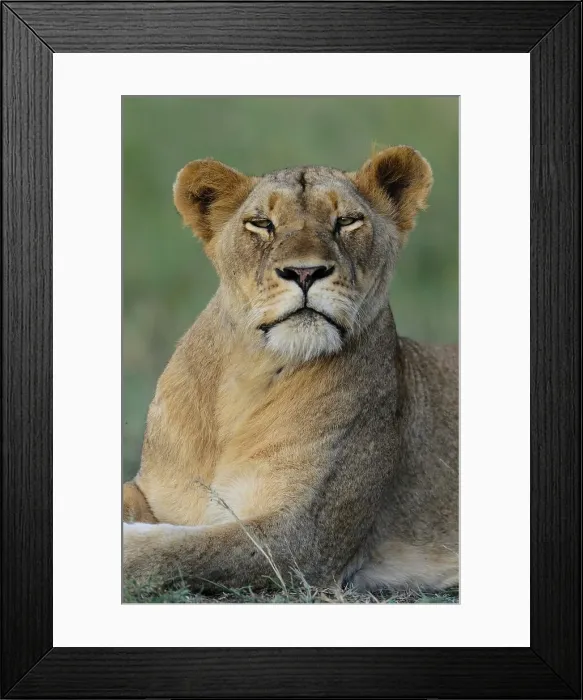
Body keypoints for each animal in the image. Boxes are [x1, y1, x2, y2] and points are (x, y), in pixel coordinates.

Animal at [123, 146, 459, 595]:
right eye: (262, 224)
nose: (304, 272)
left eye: (347, 221)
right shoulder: (154, 492)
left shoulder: (303, 540)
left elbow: (179, 551)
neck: (248, 378)